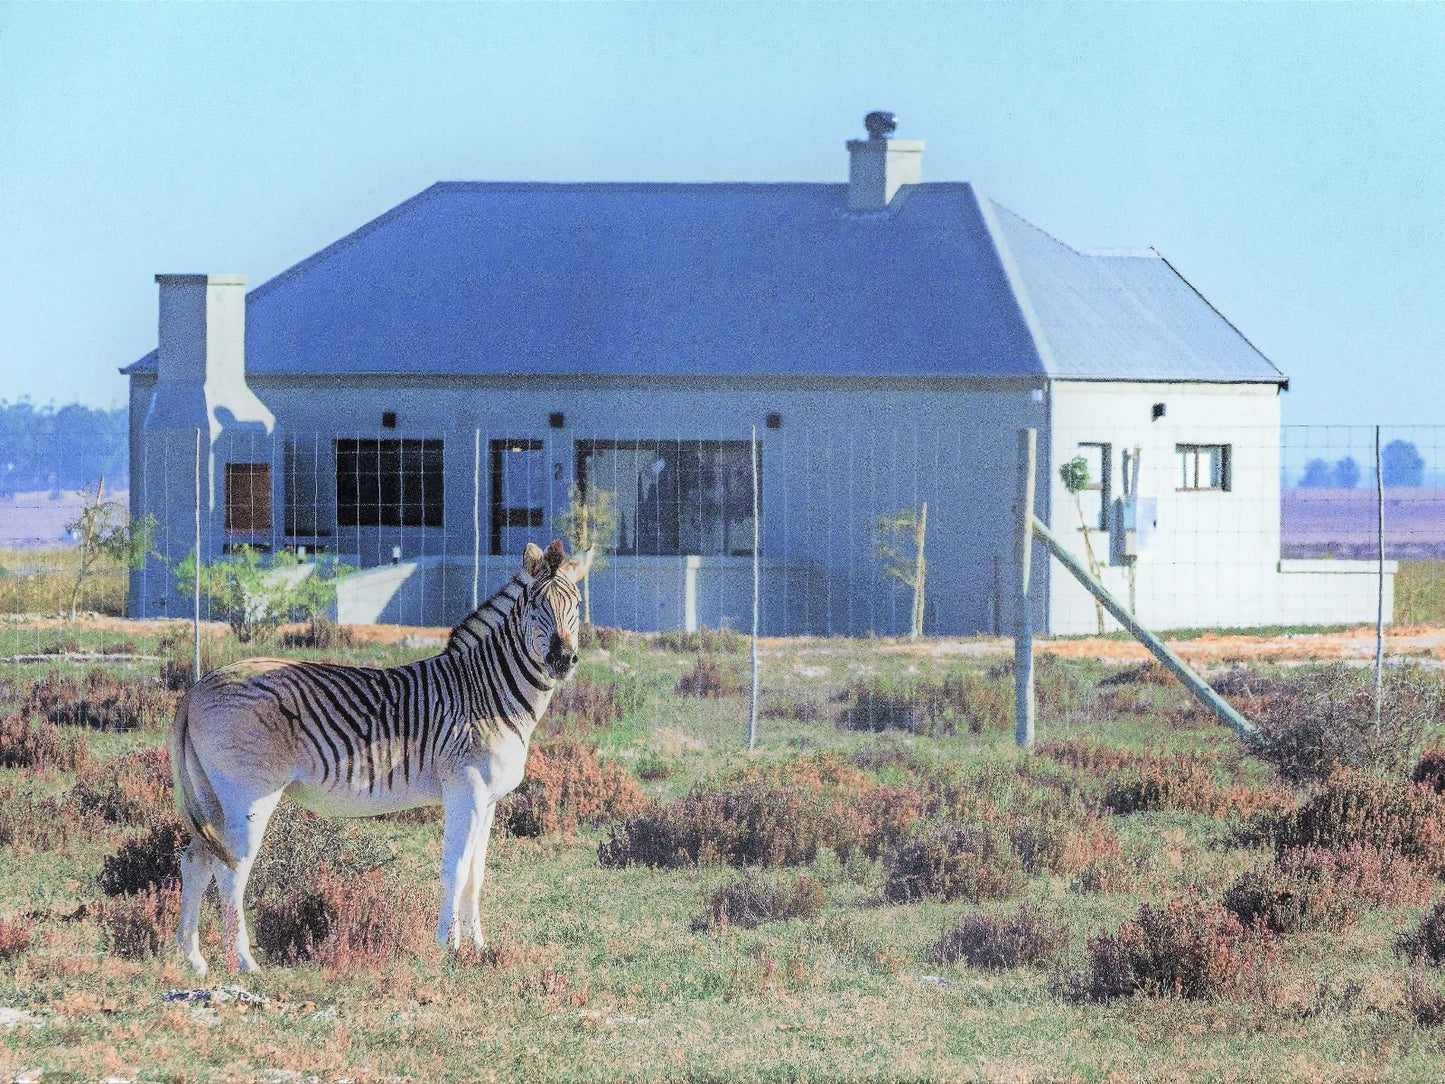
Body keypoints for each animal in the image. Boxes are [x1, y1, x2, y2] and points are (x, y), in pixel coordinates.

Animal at [170, 540, 592, 971]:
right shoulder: (466, 789)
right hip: (249, 796)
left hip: (211, 795)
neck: (488, 693)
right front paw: (449, 947)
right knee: (230, 871)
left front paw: (479, 947)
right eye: (536, 605)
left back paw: (193, 959)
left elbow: (477, 874)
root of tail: (198, 686)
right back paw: (243, 962)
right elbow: (455, 870)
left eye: (577, 604)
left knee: (196, 861)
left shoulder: (488, 800)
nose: (562, 660)